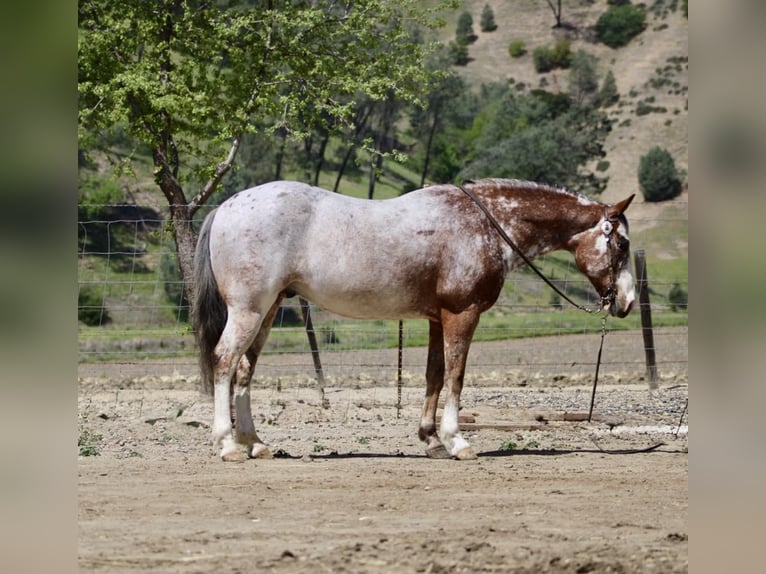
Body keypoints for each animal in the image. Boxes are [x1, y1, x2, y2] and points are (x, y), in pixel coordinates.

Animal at [192, 178, 636, 461]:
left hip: (266, 312)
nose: (628, 301)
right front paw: (457, 442)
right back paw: (228, 445)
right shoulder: (461, 314)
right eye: (621, 243)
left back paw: (255, 443)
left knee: (245, 371)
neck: (485, 223)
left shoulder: (437, 319)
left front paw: (431, 440)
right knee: (224, 361)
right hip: (248, 310)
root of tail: (226, 206)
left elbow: (434, 375)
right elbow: (456, 376)